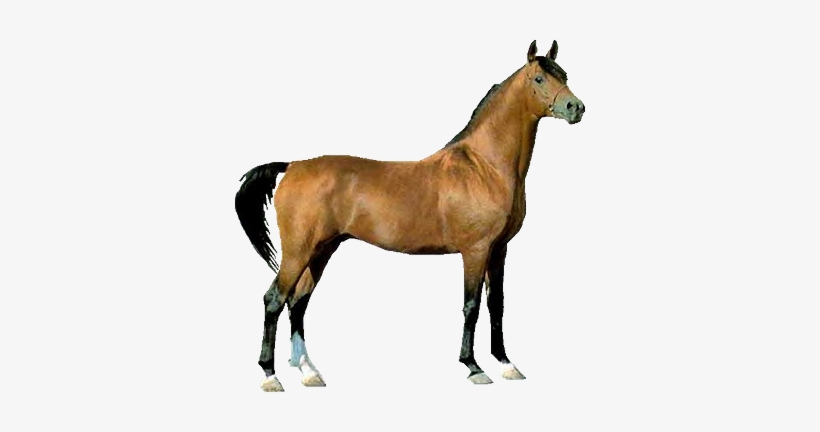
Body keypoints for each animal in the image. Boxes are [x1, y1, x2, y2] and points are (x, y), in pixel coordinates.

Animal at [235, 40, 585, 392]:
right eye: (539, 78)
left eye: (564, 74)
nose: (576, 108)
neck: (483, 167)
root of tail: (291, 165)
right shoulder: (475, 251)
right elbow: (471, 306)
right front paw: (473, 367)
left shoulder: (499, 249)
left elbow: (496, 304)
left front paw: (506, 364)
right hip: (299, 251)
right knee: (275, 299)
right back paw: (270, 375)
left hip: (322, 250)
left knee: (299, 302)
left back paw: (308, 371)